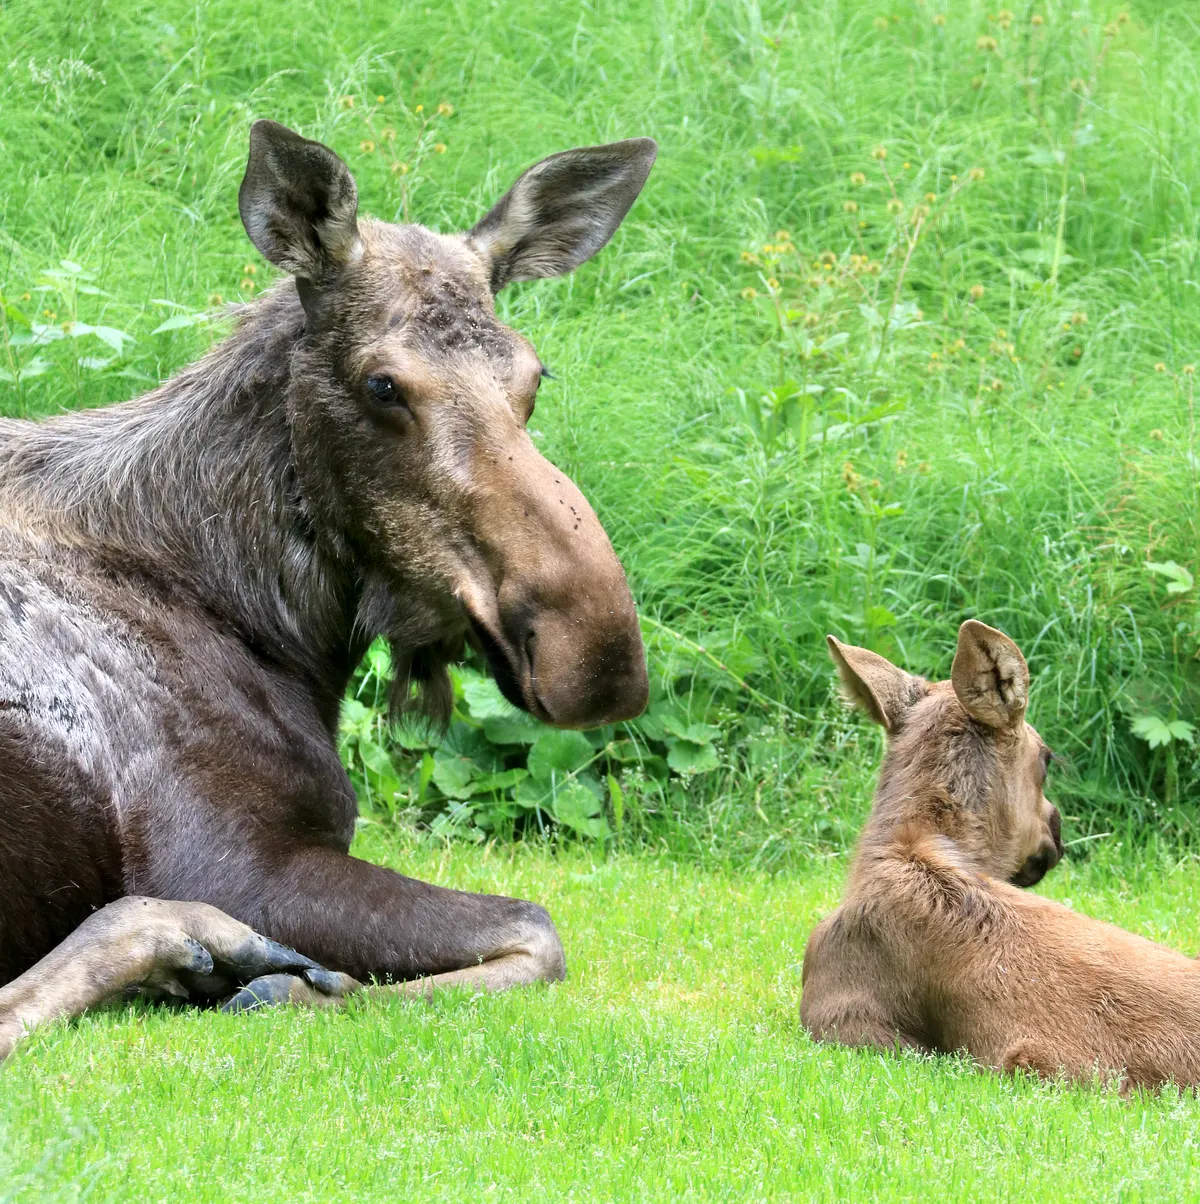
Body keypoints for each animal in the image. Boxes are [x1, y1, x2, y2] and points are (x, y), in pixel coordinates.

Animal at [0, 120, 657, 1061]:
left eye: (534, 377)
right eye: (383, 384)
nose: (597, 658)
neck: (276, 629)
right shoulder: (234, 858)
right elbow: (539, 930)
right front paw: (290, 989)